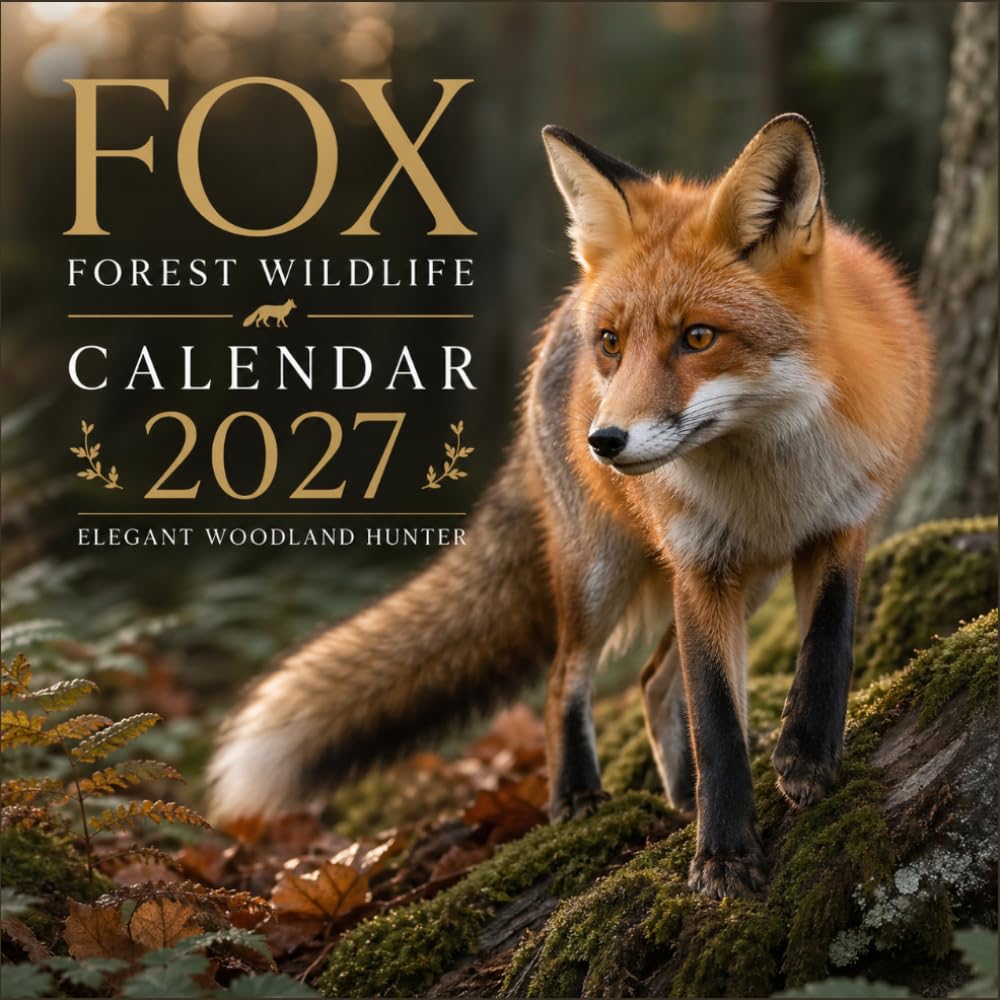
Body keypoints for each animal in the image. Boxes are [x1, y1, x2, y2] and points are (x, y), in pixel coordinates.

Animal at [208, 115, 932, 898]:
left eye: (698, 337)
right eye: (613, 343)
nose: (603, 442)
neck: (769, 474)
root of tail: (558, 318)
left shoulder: (839, 525)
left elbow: (826, 646)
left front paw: (805, 758)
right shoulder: (700, 565)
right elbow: (715, 719)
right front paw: (722, 856)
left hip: (748, 576)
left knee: (652, 683)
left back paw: (679, 797)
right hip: (601, 572)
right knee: (569, 677)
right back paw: (579, 796)